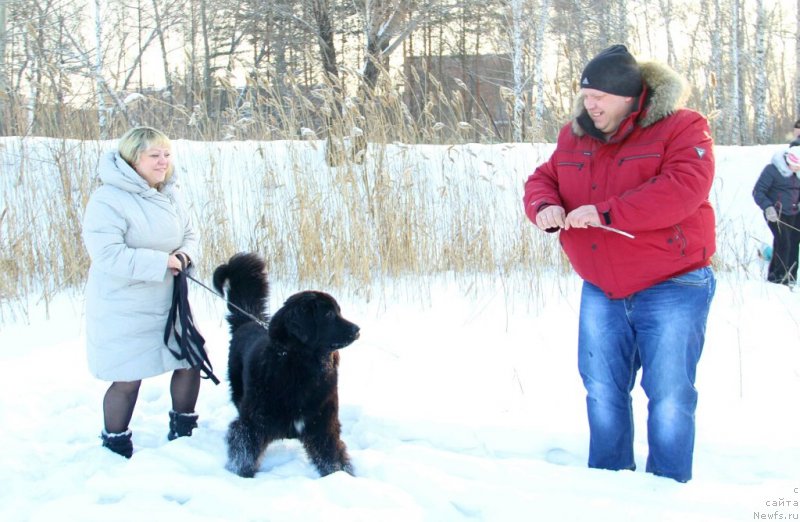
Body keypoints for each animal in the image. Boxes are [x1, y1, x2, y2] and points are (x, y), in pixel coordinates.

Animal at [214, 252, 360, 476]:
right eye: (328, 314)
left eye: (339, 312)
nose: (357, 329)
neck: (301, 367)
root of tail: (248, 321)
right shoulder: (252, 424)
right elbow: (244, 453)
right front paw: (240, 476)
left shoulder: (323, 424)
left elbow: (332, 457)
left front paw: (340, 476)